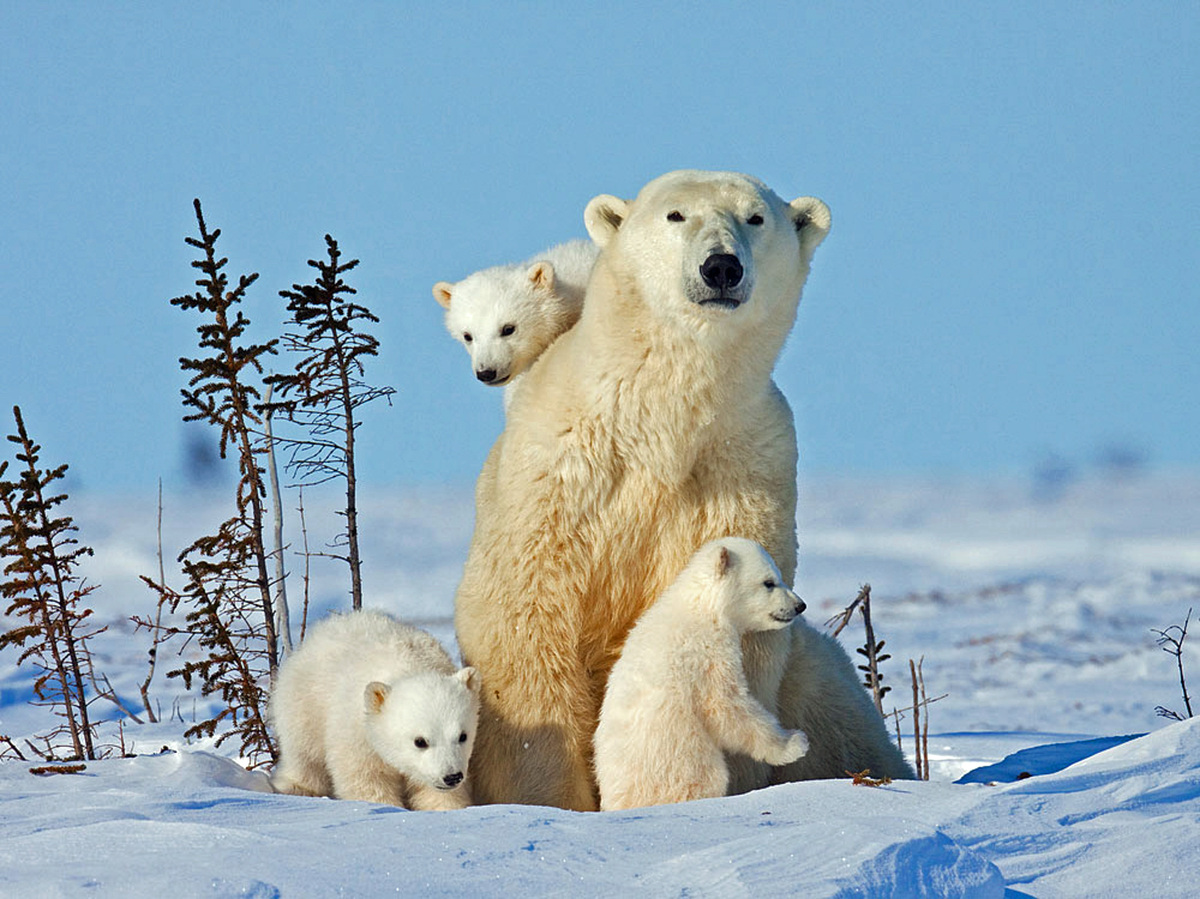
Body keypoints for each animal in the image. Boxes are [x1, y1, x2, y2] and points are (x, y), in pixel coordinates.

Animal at [268, 609, 481, 810]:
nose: (452, 776)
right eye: (420, 741)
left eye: (463, 736)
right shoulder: (357, 735)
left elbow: (433, 791)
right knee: (304, 753)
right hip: (304, 704)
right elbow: (366, 779)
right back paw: (296, 786)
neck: (409, 666)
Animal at [594, 538, 809, 810]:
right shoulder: (707, 653)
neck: (701, 607)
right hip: (681, 763)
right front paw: (794, 743)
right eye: (769, 582)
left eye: (779, 576)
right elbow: (726, 706)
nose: (799, 605)